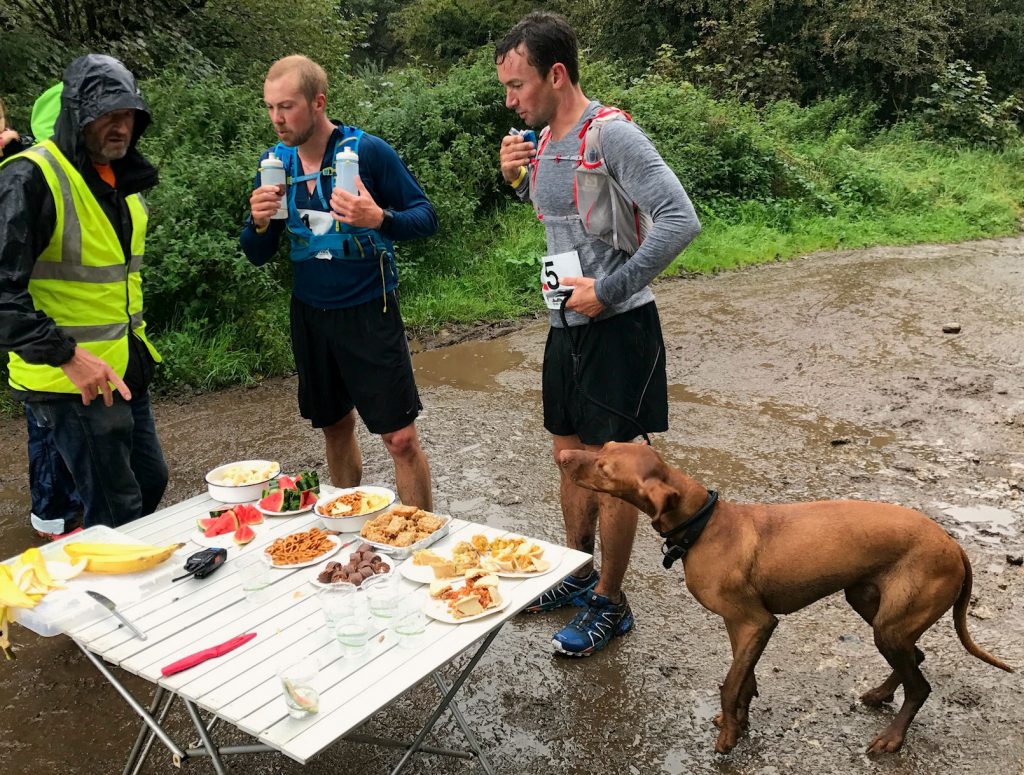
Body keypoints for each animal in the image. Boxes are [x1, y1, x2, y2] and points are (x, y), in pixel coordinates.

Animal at [557, 444, 1011, 753]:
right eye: (604, 446)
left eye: (603, 466)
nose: (563, 453)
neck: (705, 524)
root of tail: (954, 545)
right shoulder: (742, 624)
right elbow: (744, 680)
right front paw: (738, 723)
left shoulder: (756, 622)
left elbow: (730, 684)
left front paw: (729, 738)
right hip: (874, 608)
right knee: (916, 658)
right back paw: (881, 695)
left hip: (890, 627)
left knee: (920, 686)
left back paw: (891, 738)